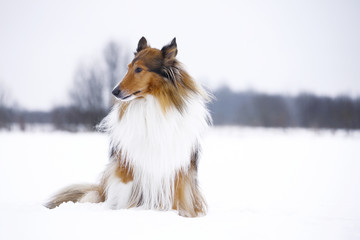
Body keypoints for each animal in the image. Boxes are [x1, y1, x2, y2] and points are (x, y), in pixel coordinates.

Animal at [46, 37, 212, 218]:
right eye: (128, 68)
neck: (152, 103)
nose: (114, 92)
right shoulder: (127, 164)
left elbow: (175, 194)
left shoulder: (176, 166)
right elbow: (125, 193)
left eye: (139, 69)